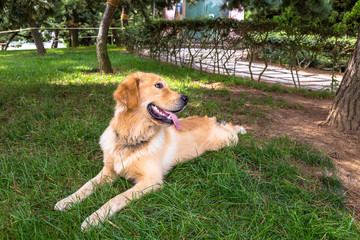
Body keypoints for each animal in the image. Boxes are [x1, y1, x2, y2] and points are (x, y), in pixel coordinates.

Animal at [54, 71, 246, 231]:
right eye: (159, 85)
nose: (186, 98)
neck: (131, 138)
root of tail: (210, 120)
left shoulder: (151, 181)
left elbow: (117, 197)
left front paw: (94, 218)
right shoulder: (108, 171)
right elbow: (87, 185)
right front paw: (67, 201)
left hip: (225, 141)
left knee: (230, 128)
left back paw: (241, 129)